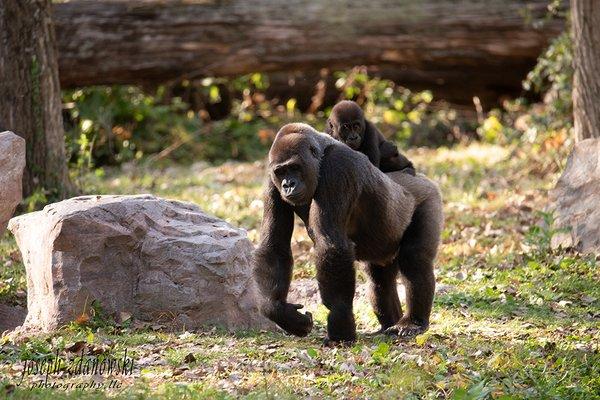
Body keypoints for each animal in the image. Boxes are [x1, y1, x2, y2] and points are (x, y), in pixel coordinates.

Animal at [251, 122, 442, 344]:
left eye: (295, 168)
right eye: (281, 172)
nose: (288, 185)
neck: (321, 155)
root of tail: (420, 179)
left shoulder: (338, 166)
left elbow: (332, 244)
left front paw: (340, 322)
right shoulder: (271, 181)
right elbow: (275, 245)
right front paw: (280, 312)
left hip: (429, 197)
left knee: (415, 258)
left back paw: (413, 322)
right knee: (379, 279)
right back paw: (388, 324)